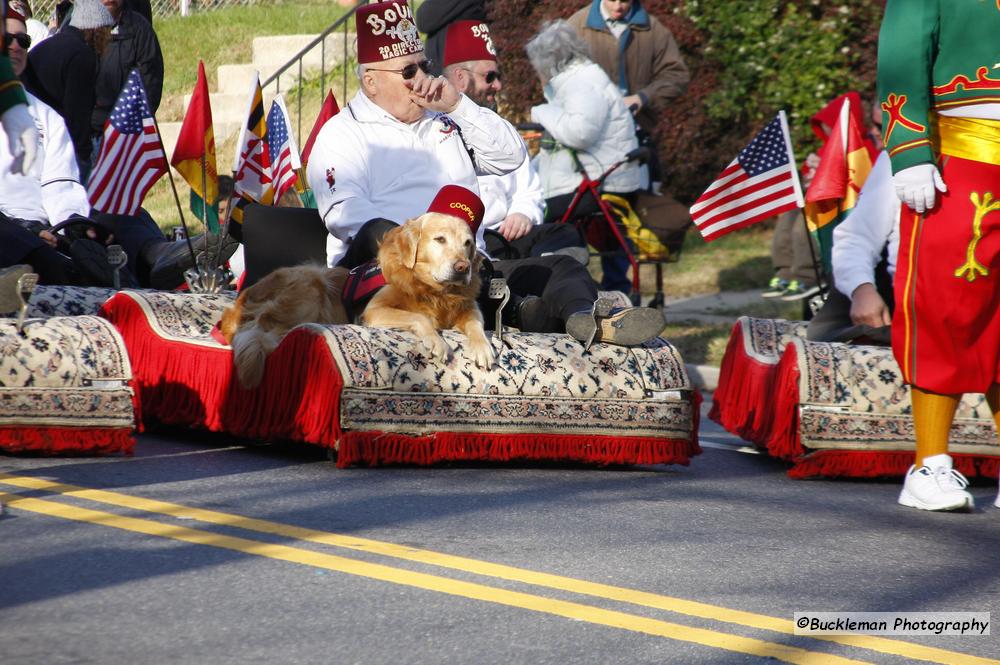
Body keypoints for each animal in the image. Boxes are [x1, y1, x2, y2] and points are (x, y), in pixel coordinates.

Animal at [364, 213, 496, 368]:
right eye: (440, 239)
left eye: (468, 242)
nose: (463, 267)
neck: (435, 291)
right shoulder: (373, 309)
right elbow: (419, 316)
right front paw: (436, 340)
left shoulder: (470, 307)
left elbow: (475, 324)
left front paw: (482, 346)